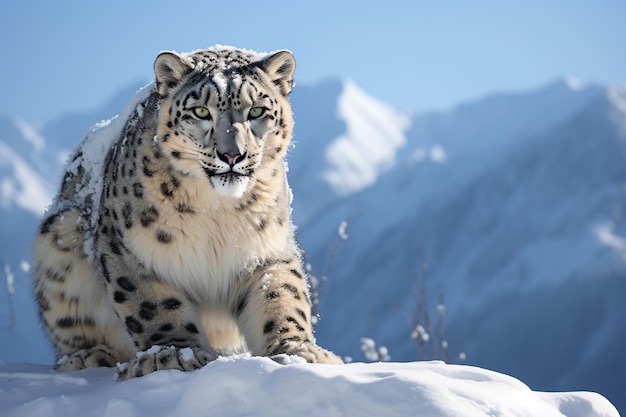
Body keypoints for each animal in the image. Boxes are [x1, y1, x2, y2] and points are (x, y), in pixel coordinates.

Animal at [33, 44, 342, 376]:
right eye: (201, 111)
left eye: (257, 111)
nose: (233, 155)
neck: (219, 211)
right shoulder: (129, 250)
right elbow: (152, 305)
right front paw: (173, 354)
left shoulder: (268, 250)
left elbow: (281, 296)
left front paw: (299, 353)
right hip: (61, 237)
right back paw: (89, 357)